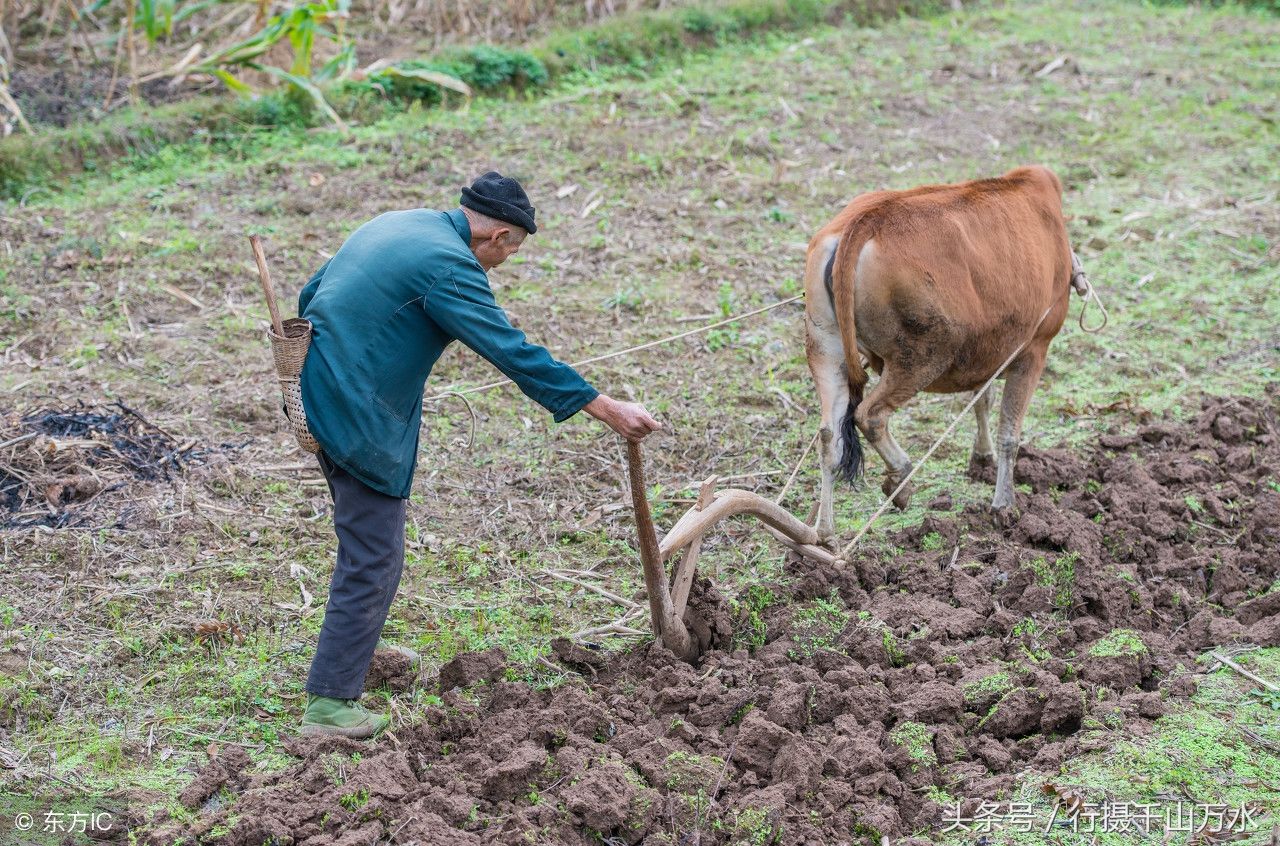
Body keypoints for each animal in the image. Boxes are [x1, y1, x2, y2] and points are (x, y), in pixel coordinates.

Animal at [808, 163, 1080, 534]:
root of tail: (865, 221)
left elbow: (982, 400)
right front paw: (1004, 506)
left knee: (829, 436)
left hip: (825, 350)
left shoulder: (990, 349)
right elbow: (1009, 432)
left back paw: (824, 534)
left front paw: (982, 459)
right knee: (871, 415)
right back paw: (901, 480)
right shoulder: (1033, 349)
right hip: (919, 358)